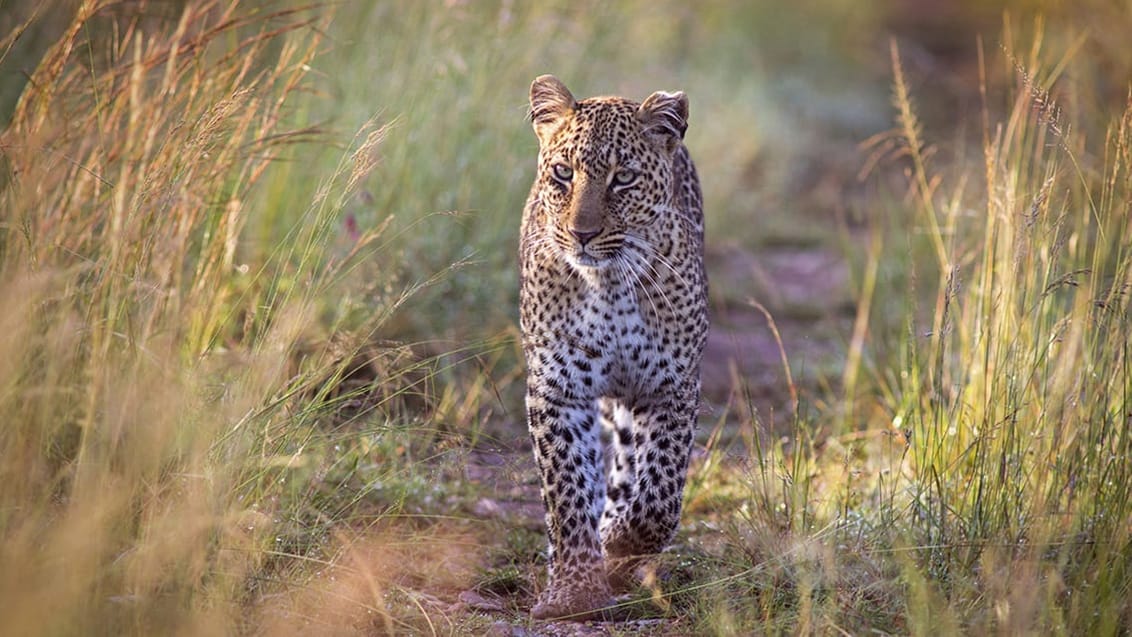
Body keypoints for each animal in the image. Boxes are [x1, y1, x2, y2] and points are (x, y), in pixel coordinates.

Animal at [518, 73, 706, 620]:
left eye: (622, 179)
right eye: (562, 173)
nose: (582, 233)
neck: (610, 286)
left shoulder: (671, 386)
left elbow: (660, 493)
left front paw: (621, 544)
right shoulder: (557, 390)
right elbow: (567, 490)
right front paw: (573, 591)